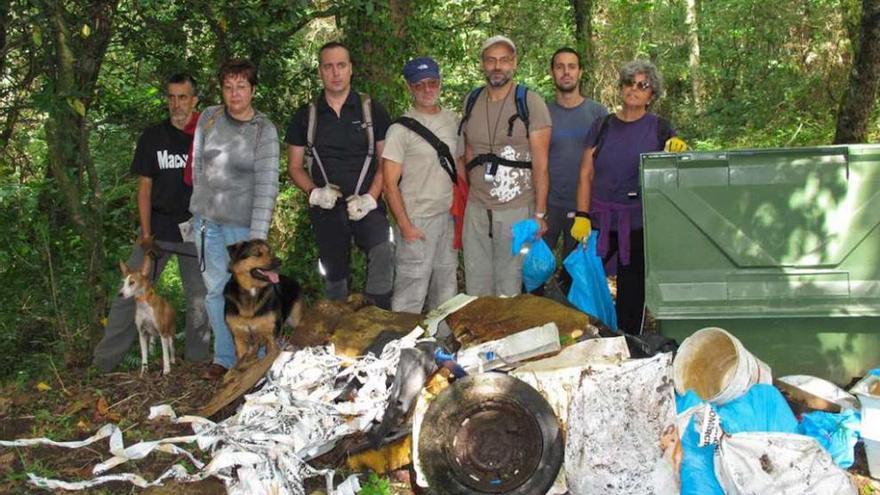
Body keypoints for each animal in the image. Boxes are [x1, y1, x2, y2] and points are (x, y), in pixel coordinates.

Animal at [118, 250, 177, 378]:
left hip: (170, 334)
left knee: (171, 348)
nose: (119, 294)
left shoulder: (163, 333)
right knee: (152, 346)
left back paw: (173, 360)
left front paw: (166, 369)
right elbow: (144, 356)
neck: (143, 305)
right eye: (123, 283)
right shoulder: (142, 333)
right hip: (152, 335)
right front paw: (143, 371)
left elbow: (165, 354)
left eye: (132, 282)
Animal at [223, 240, 302, 372]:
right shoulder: (239, 338)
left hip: (295, 320)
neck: (252, 291)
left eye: (270, 251)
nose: (279, 261)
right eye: (257, 254)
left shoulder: (271, 335)